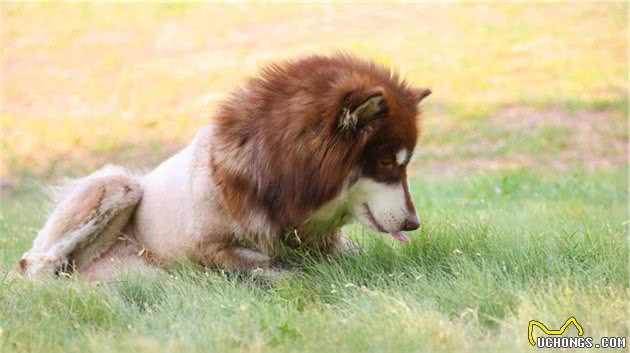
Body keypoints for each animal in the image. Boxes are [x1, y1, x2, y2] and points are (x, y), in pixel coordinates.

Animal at [21, 54, 434, 280]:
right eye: (387, 162)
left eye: (405, 164)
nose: (414, 223)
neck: (274, 174)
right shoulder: (208, 248)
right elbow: (278, 269)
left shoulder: (325, 242)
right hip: (120, 184)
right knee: (33, 264)